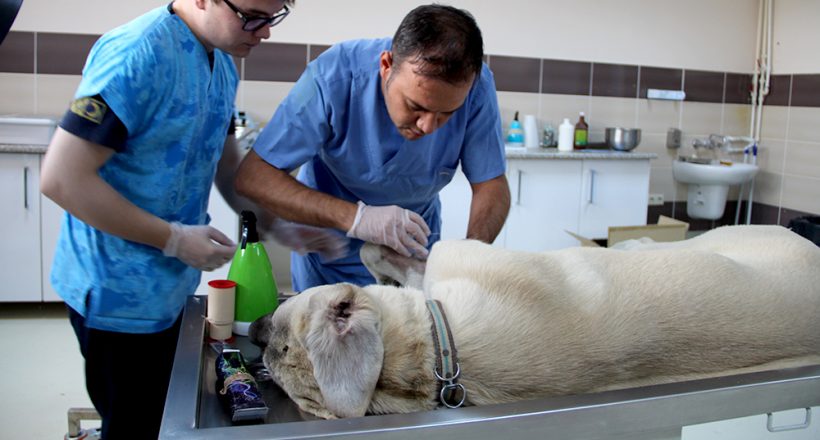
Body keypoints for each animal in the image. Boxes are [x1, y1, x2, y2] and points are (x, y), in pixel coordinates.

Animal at [249, 225, 820, 419]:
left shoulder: (444, 262)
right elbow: (384, 255)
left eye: (281, 340)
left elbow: (383, 253)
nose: (254, 330)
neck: (438, 354)